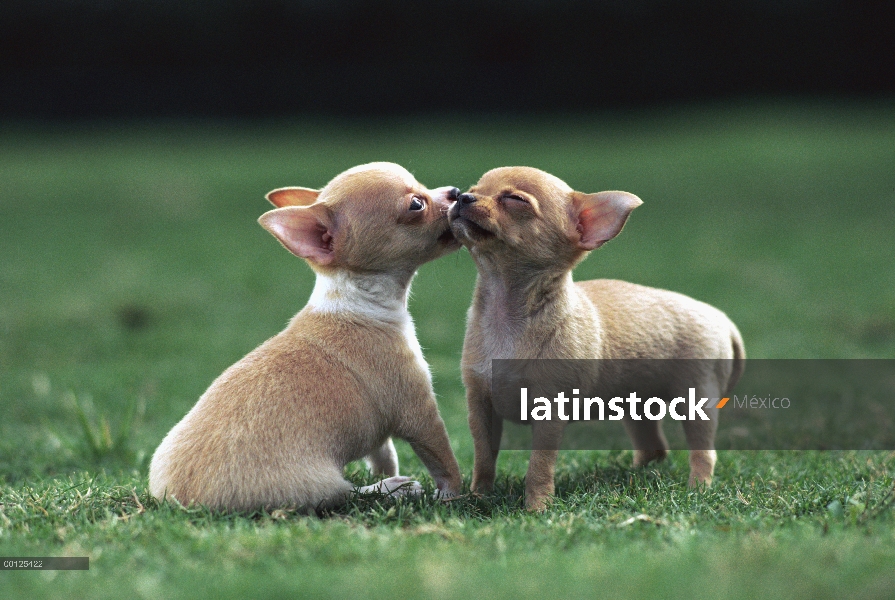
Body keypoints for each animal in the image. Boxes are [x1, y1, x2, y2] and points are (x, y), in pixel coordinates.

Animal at [148, 163, 466, 510]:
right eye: (416, 205)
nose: (456, 192)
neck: (355, 294)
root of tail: (183, 500)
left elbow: (383, 452)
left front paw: (388, 471)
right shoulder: (419, 412)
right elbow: (442, 459)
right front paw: (453, 494)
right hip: (319, 483)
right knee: (350, 493)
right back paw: (394, 489)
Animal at [452, 165, 744, 510]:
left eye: (514, 200)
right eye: (473, 189)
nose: (460, 196)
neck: (507, 312)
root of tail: (722, 319)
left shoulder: (549, 412)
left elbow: (539, 465)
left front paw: (538, 508)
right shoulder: (481, 405)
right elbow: (484, 457)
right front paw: (478, 496)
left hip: (696, 398)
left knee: (703, 452)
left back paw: (697, 488)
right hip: (638, 407)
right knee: (654, 446)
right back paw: (633, 476)